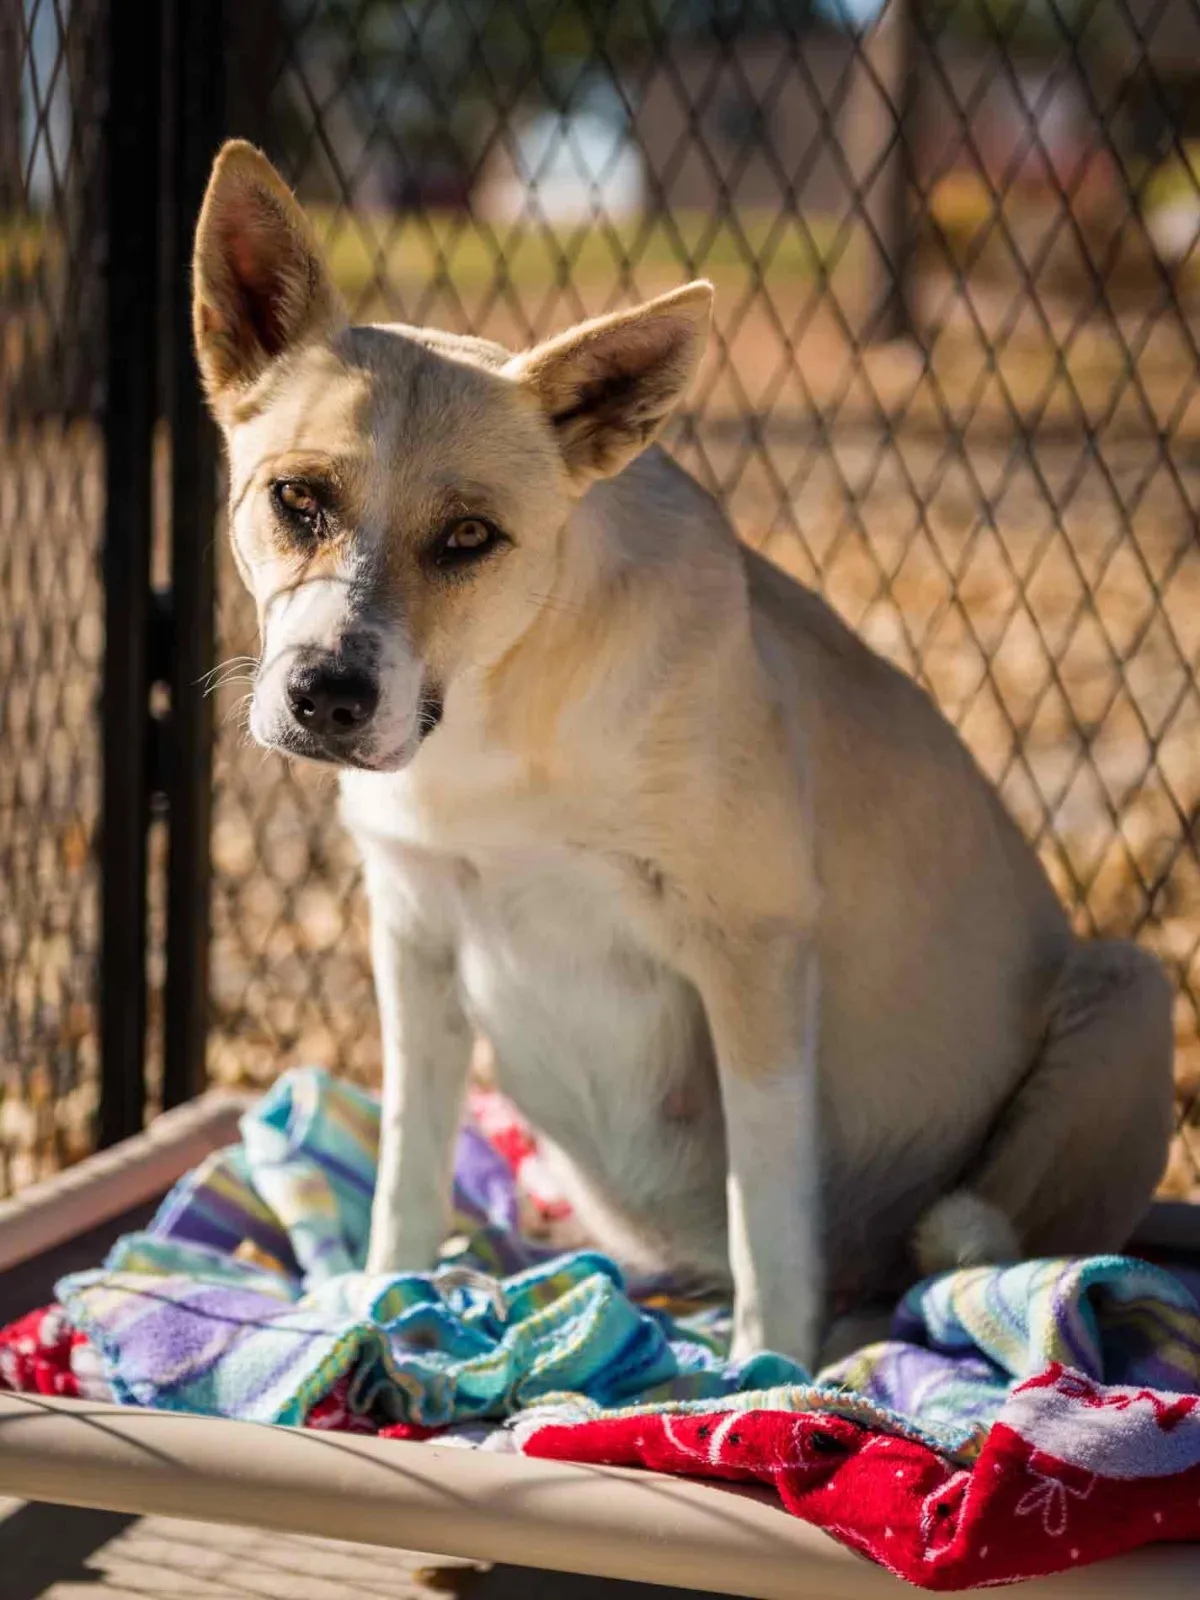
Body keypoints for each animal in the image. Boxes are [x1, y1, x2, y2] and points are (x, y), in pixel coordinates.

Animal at [195, 144, 1177, 1363]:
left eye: (470, 537)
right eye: (297, 498)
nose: (328, 696)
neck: (497, 726)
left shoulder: (753, 956)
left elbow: (770, 1216)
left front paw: (766, 1368)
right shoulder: (415, 941)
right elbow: (406, 1180)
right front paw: (386, 1302)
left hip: (1130, 988)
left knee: (955, 1243)